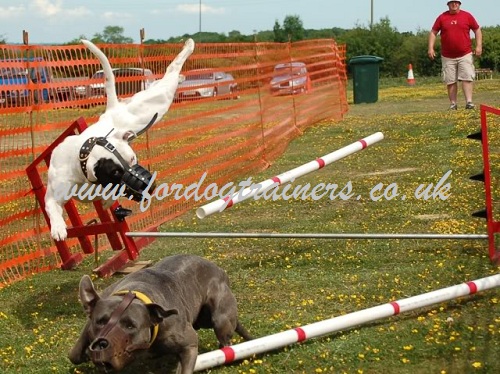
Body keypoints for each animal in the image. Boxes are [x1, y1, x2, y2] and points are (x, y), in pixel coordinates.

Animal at [45, 38, 194, 243]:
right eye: (115, 172)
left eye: (133, 160)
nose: (150, 185)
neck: (81, 165)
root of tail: (112, 110)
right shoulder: (54, 192)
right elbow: (52, 207)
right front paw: (58, 228)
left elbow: (109, 195)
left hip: (153, 104)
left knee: (171, 72)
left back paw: (188, 48)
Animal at [68, 254, 252, 374]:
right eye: (100, 322)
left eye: (131, 326)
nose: (101, 345)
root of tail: (221, 271)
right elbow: (74, 354)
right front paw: (82, 354)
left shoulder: (189, 345)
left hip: (219, 318)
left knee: (225, 341)